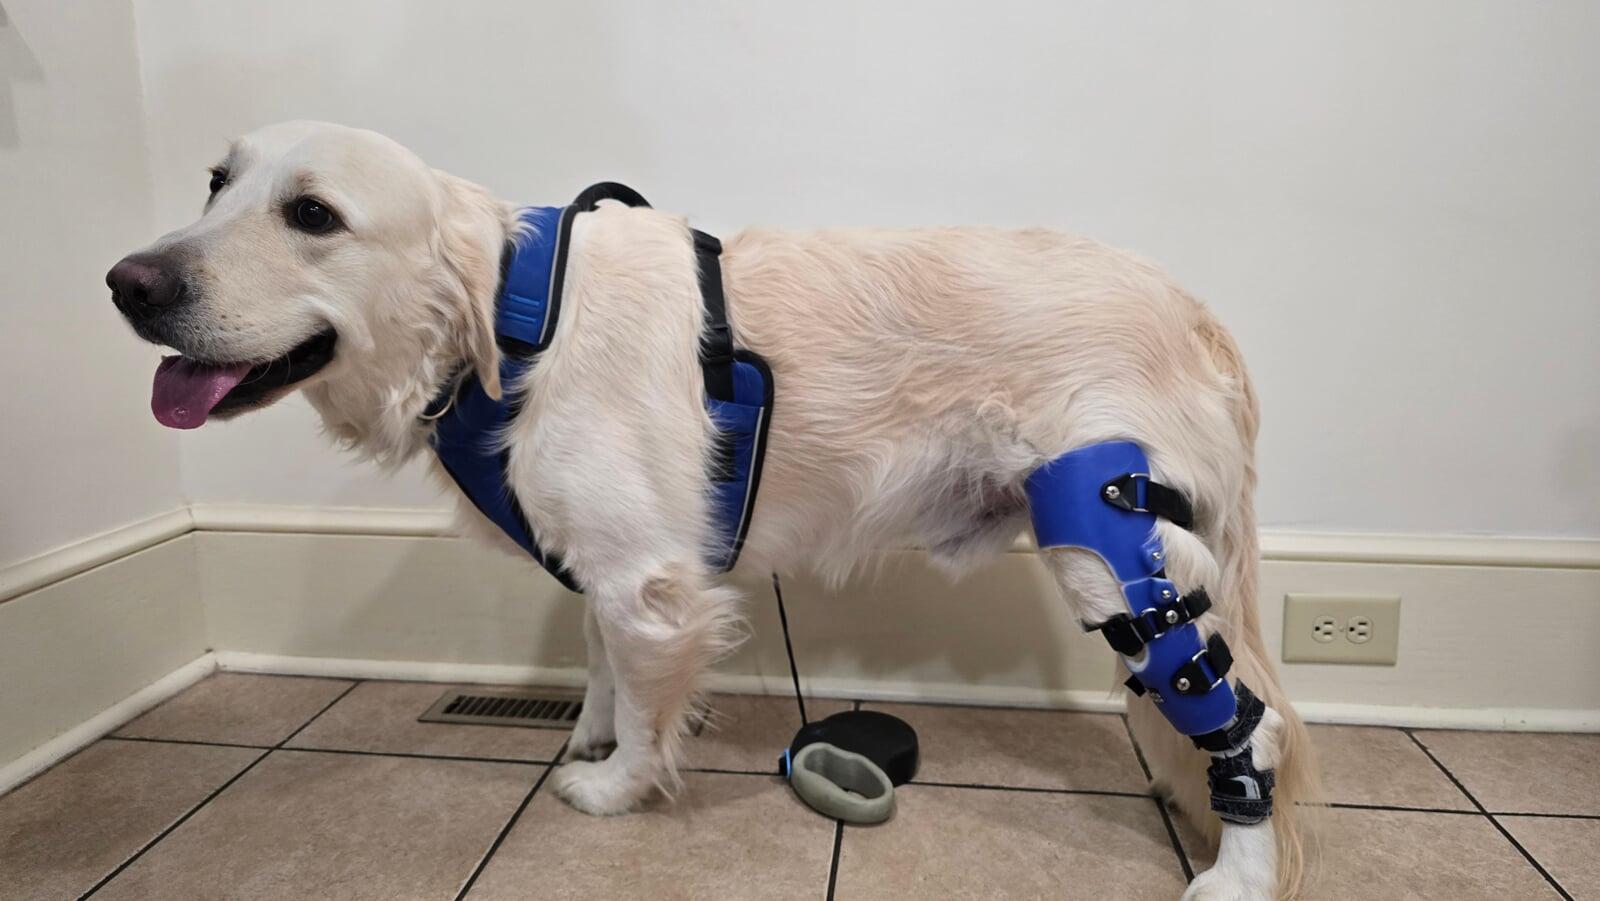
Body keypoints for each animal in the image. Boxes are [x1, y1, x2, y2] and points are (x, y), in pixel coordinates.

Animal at [109, 121, 1317, 900]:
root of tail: (1196, 311)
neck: (506, 321)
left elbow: (649, 708)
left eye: (312, 214)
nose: (128, 282)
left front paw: (614, 786)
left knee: (1250, 727)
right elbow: (600, 666)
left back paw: (1234, 872)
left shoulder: (650, 582)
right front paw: (589, 736)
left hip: (1107, 538)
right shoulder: (605, 564)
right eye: (214, 183)